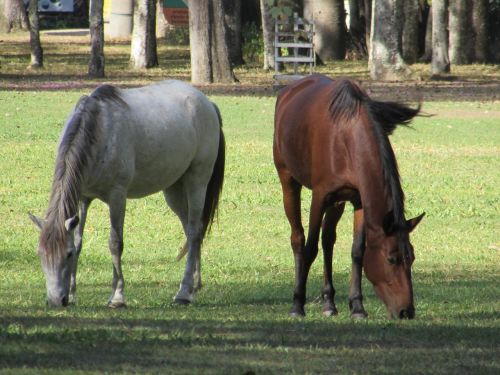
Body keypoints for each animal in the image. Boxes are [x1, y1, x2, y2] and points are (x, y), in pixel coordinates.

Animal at [29, 80, 225, 308]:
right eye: (40, 254)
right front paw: (72, 293)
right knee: (192, 231)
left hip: (197, 182)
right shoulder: (83, 197)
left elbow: (115, 243)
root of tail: (208, 104)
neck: (100, 129)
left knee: (193, 231)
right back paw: (195, 283)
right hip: (174, 190)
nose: (55, 300)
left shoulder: (117, 197)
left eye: (66, 255)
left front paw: (117, 296)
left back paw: (183, 292)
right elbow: (79, 241)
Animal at [276, 75, 424, 320]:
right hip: (288, 180)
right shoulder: (320, 197)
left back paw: (329, 303)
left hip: (338, 202)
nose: (406, 311)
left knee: (328, 240)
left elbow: (357, 252)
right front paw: (297, 305)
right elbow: (310, 249)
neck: (347, 137)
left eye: (411, 258)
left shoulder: (360, 201)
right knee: (298, 239)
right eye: (391, 258)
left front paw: (357, 307)